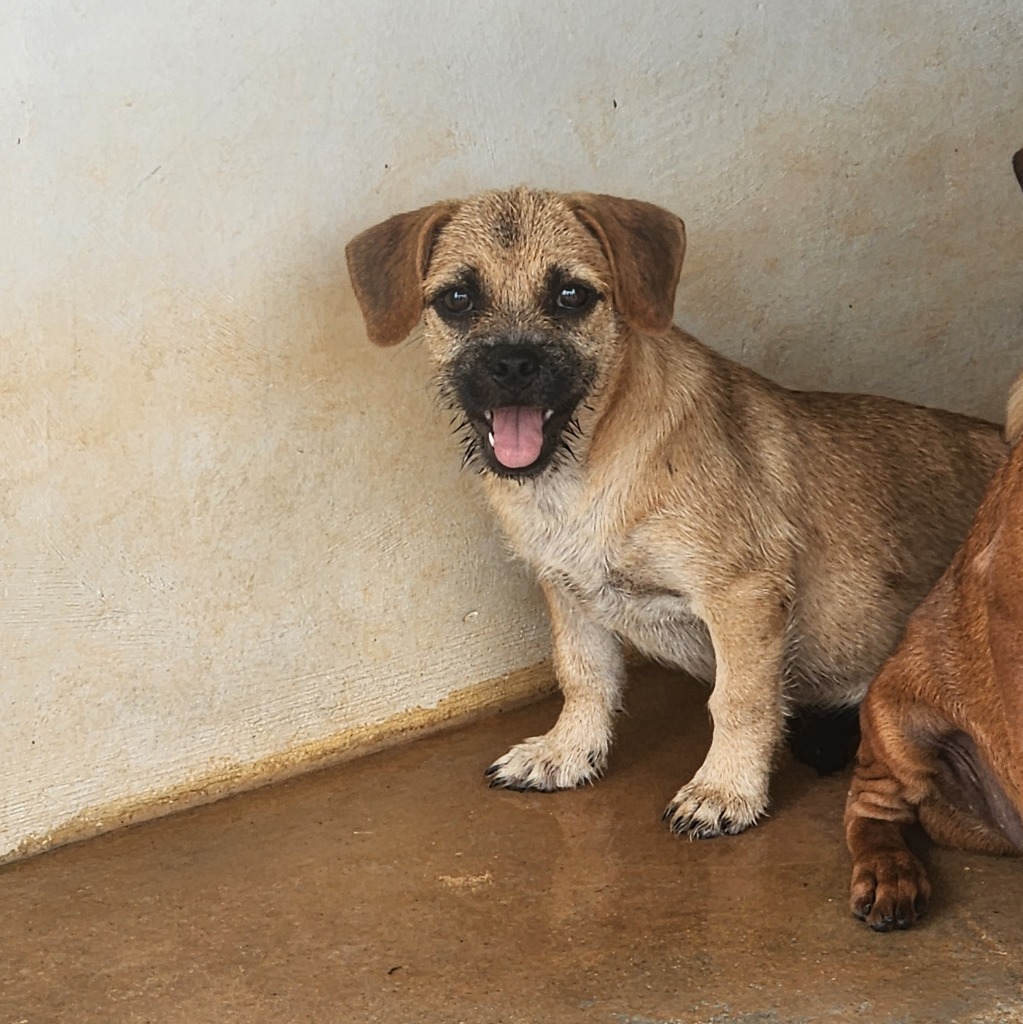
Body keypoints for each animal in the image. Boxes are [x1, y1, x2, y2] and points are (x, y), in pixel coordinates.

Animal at [348, 188, 1003, 835]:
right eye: (457, 299)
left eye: (570, 295)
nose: (511, 366)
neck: (583, 472)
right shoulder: (567, 592)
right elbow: (583, 675)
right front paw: (568, 751)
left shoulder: (741, 595)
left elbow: (739, 700)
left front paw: (726, 789)